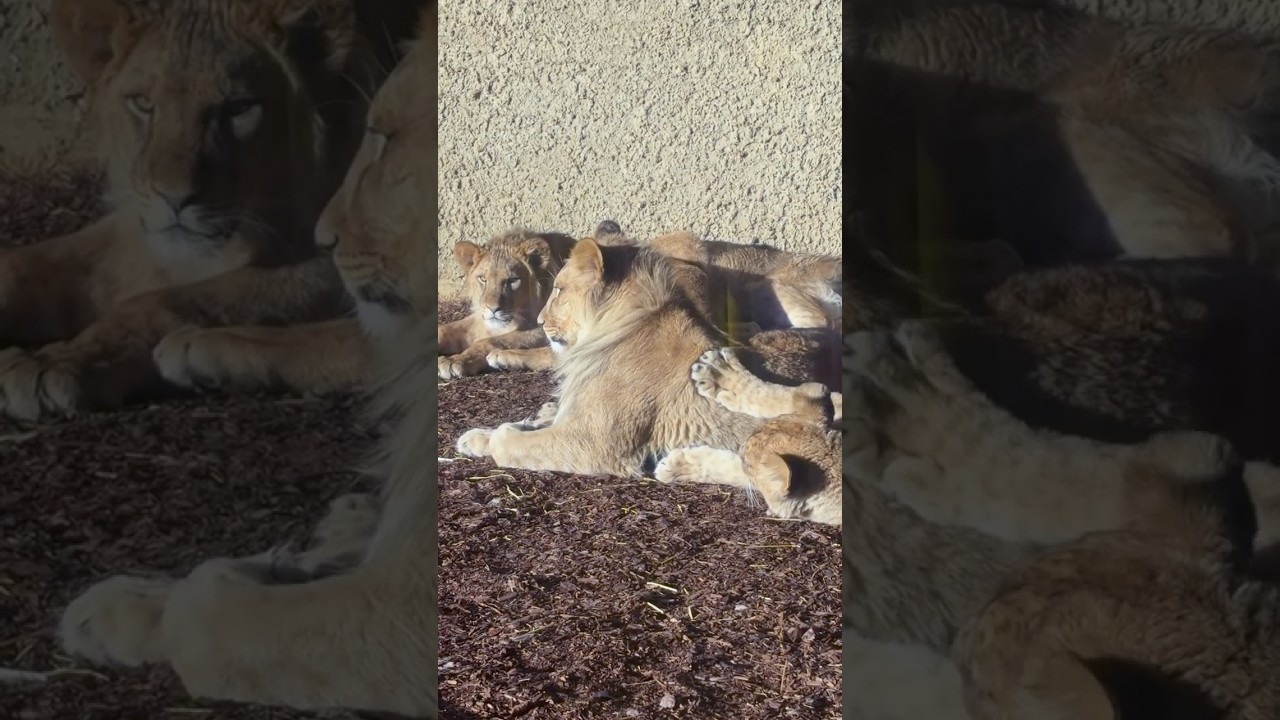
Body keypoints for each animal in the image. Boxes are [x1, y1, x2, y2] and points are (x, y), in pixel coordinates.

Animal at [0, 0, 418, 422]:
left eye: (237, 108)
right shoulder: (138, 227)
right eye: (143, 104)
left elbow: (171, 301)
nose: (175, 199)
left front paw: (53, 362)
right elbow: (23, 265)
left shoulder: (345, 255)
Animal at [55, 5, 437, 716]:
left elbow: (206, 613)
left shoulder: (412, 612)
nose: (323, 239)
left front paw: (247, 572)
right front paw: (115, 608)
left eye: (382, 140)